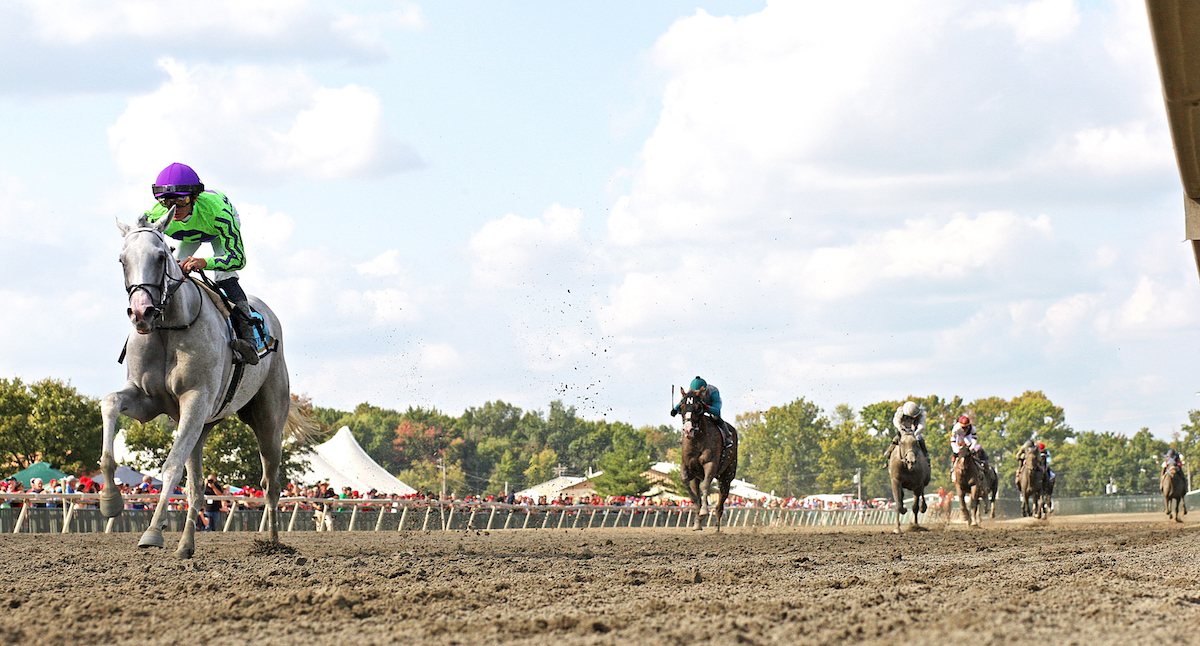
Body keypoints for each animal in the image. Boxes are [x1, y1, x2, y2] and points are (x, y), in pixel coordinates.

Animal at [99, 213, 314, 554]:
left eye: (161, 257)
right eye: (122, 260)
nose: (141, 312)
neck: (169, 327)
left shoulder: (195, 399)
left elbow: (172, 466)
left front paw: (153, 531)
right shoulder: (146, 399)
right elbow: (109, 403)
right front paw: (110, 500)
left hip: (267, 420)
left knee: (270, 483)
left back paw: (272, 542)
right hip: (203, 426)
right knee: (198, 487)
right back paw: (186, 545)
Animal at [681, 386, 734, 528]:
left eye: (698, 407)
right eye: (681, 407)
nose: (688, 430)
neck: (697, 439)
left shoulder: (710, 464)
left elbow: (705, 485)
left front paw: (704, 510)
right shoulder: (687, 466)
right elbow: (686, 482)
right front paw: (698, 510)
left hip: (727, 476)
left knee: (720, 504)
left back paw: (717, 527)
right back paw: (697, 523)